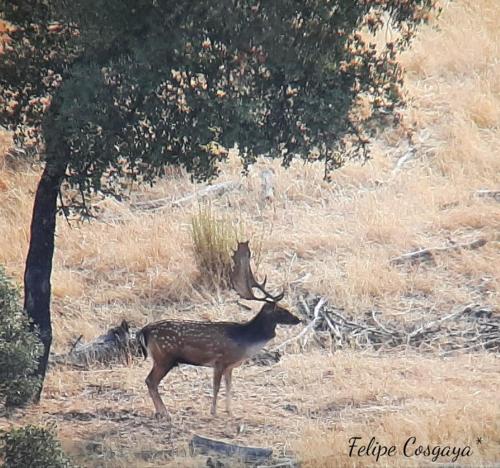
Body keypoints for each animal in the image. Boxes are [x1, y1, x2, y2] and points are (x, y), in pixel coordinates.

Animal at [137, 243, 298, 418]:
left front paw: (230, 410)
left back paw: (162, 411)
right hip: (164, 357)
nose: (298, 319)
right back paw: (164, 412)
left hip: (161, 358)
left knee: (150, 381)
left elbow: (229, 386)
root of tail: (144, 330)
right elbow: (216, 387)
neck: (245, 341)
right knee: (150, 381)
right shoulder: (219, 360)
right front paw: (213, 412)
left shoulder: (230, 366)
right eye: (281, 310)